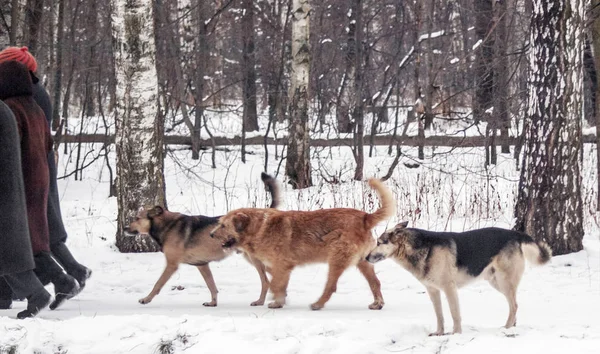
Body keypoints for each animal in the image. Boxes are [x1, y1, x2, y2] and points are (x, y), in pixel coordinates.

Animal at [123, 174, 282, 306]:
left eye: (137, 218)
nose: (124, 228)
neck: (166, 225)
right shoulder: (202, 265)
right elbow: (212, 286)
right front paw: (213, 303)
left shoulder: (172, 265)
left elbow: (158, 284)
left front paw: (146, 299)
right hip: (253, 259)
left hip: (255, 259)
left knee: (265, 281)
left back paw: (260, 301)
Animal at [209, 180, 396, 310]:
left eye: (223, 225)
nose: (211, 234)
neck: (259, 227)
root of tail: (365, 217)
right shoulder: (278, 267)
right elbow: (276, 282)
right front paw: (278, 300)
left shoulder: (282, 265)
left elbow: (275, 283)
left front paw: (276, 301)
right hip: (364, 262)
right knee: (375, 283)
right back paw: (377, 303)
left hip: (336, 260)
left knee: (331, 286)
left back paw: (318, 304)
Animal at [364, 223, 552, 336]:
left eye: (379, 242)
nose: (365, 257)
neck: (421, 248)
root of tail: (515, 234)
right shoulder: (433, 291)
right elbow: (439, 315)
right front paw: (439, 334)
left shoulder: (449, 288)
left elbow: (455, 314)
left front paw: (456, 334)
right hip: (496, 282)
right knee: (513, 305)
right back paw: (511, 326)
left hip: (504, 281)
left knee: (514, 305)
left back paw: (506, 328)